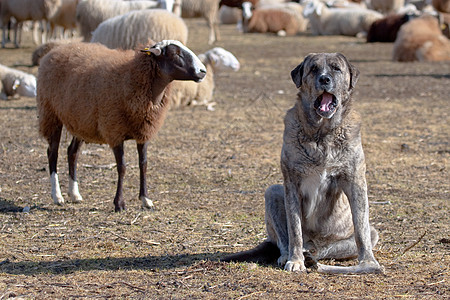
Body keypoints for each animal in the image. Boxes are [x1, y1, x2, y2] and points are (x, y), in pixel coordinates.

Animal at [37, 39, 207, 212]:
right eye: (175, 54)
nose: (203, 71)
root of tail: (57, 50)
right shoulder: (115, 131)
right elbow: (122, 167)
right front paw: (119, 203)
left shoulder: (143, 132)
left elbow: (143, 165)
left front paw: (145, 199)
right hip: (50, 114)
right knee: (52, 153)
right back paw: (57, 196)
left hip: (80, 121)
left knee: (72, 152)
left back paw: (75, 194)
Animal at [224, 52, 384, 274]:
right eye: (313, 69)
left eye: (336, 68)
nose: (324, 79)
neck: (322, 134)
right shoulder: (292, 184)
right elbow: (294, 230)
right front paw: (295, 260)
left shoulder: (356, 183)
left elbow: (361, 231)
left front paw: (368, 261)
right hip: (273, 191)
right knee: (285, 241)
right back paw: (293, 256)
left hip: (367, 234)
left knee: (328, 251)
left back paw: (315, 259)